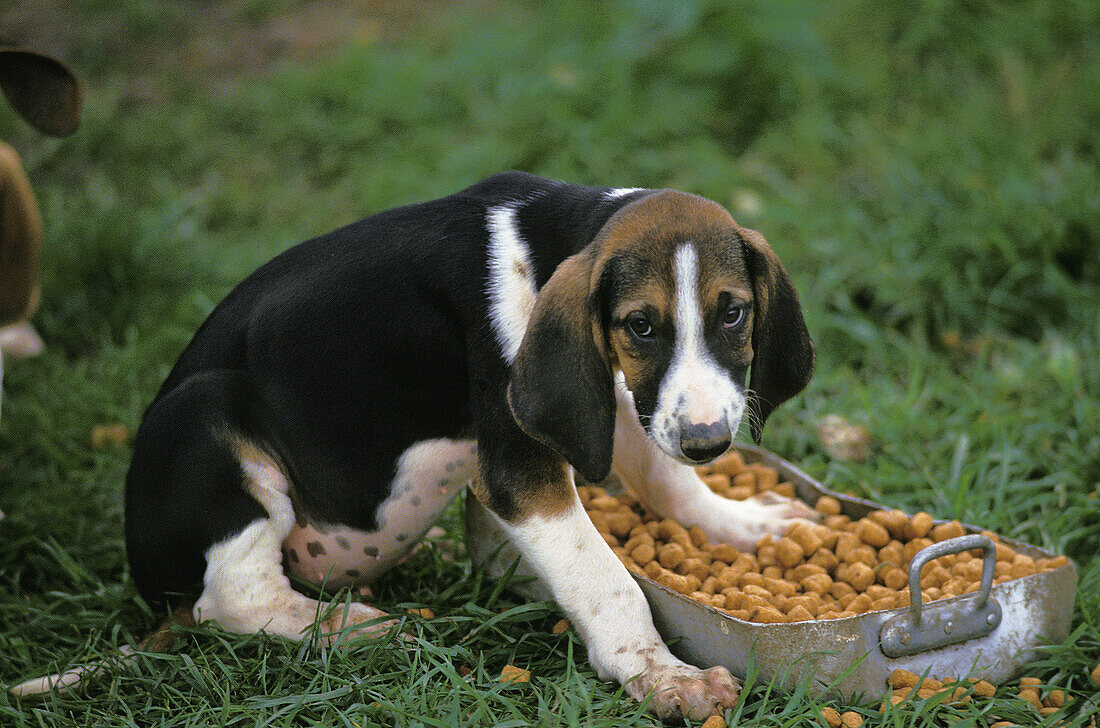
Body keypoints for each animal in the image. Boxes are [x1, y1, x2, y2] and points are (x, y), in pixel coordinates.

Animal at [15, 172, 818, 725]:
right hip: (206, 415)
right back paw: (351, 628)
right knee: (232, 598)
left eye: (734, 314)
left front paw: (748, 527)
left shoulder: (614, 397)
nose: (709, 441)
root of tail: (156, 597)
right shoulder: (522, 463)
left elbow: (668, 481)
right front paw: (660, 673)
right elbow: (604, 578)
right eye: (641, 325)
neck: (548, 241)